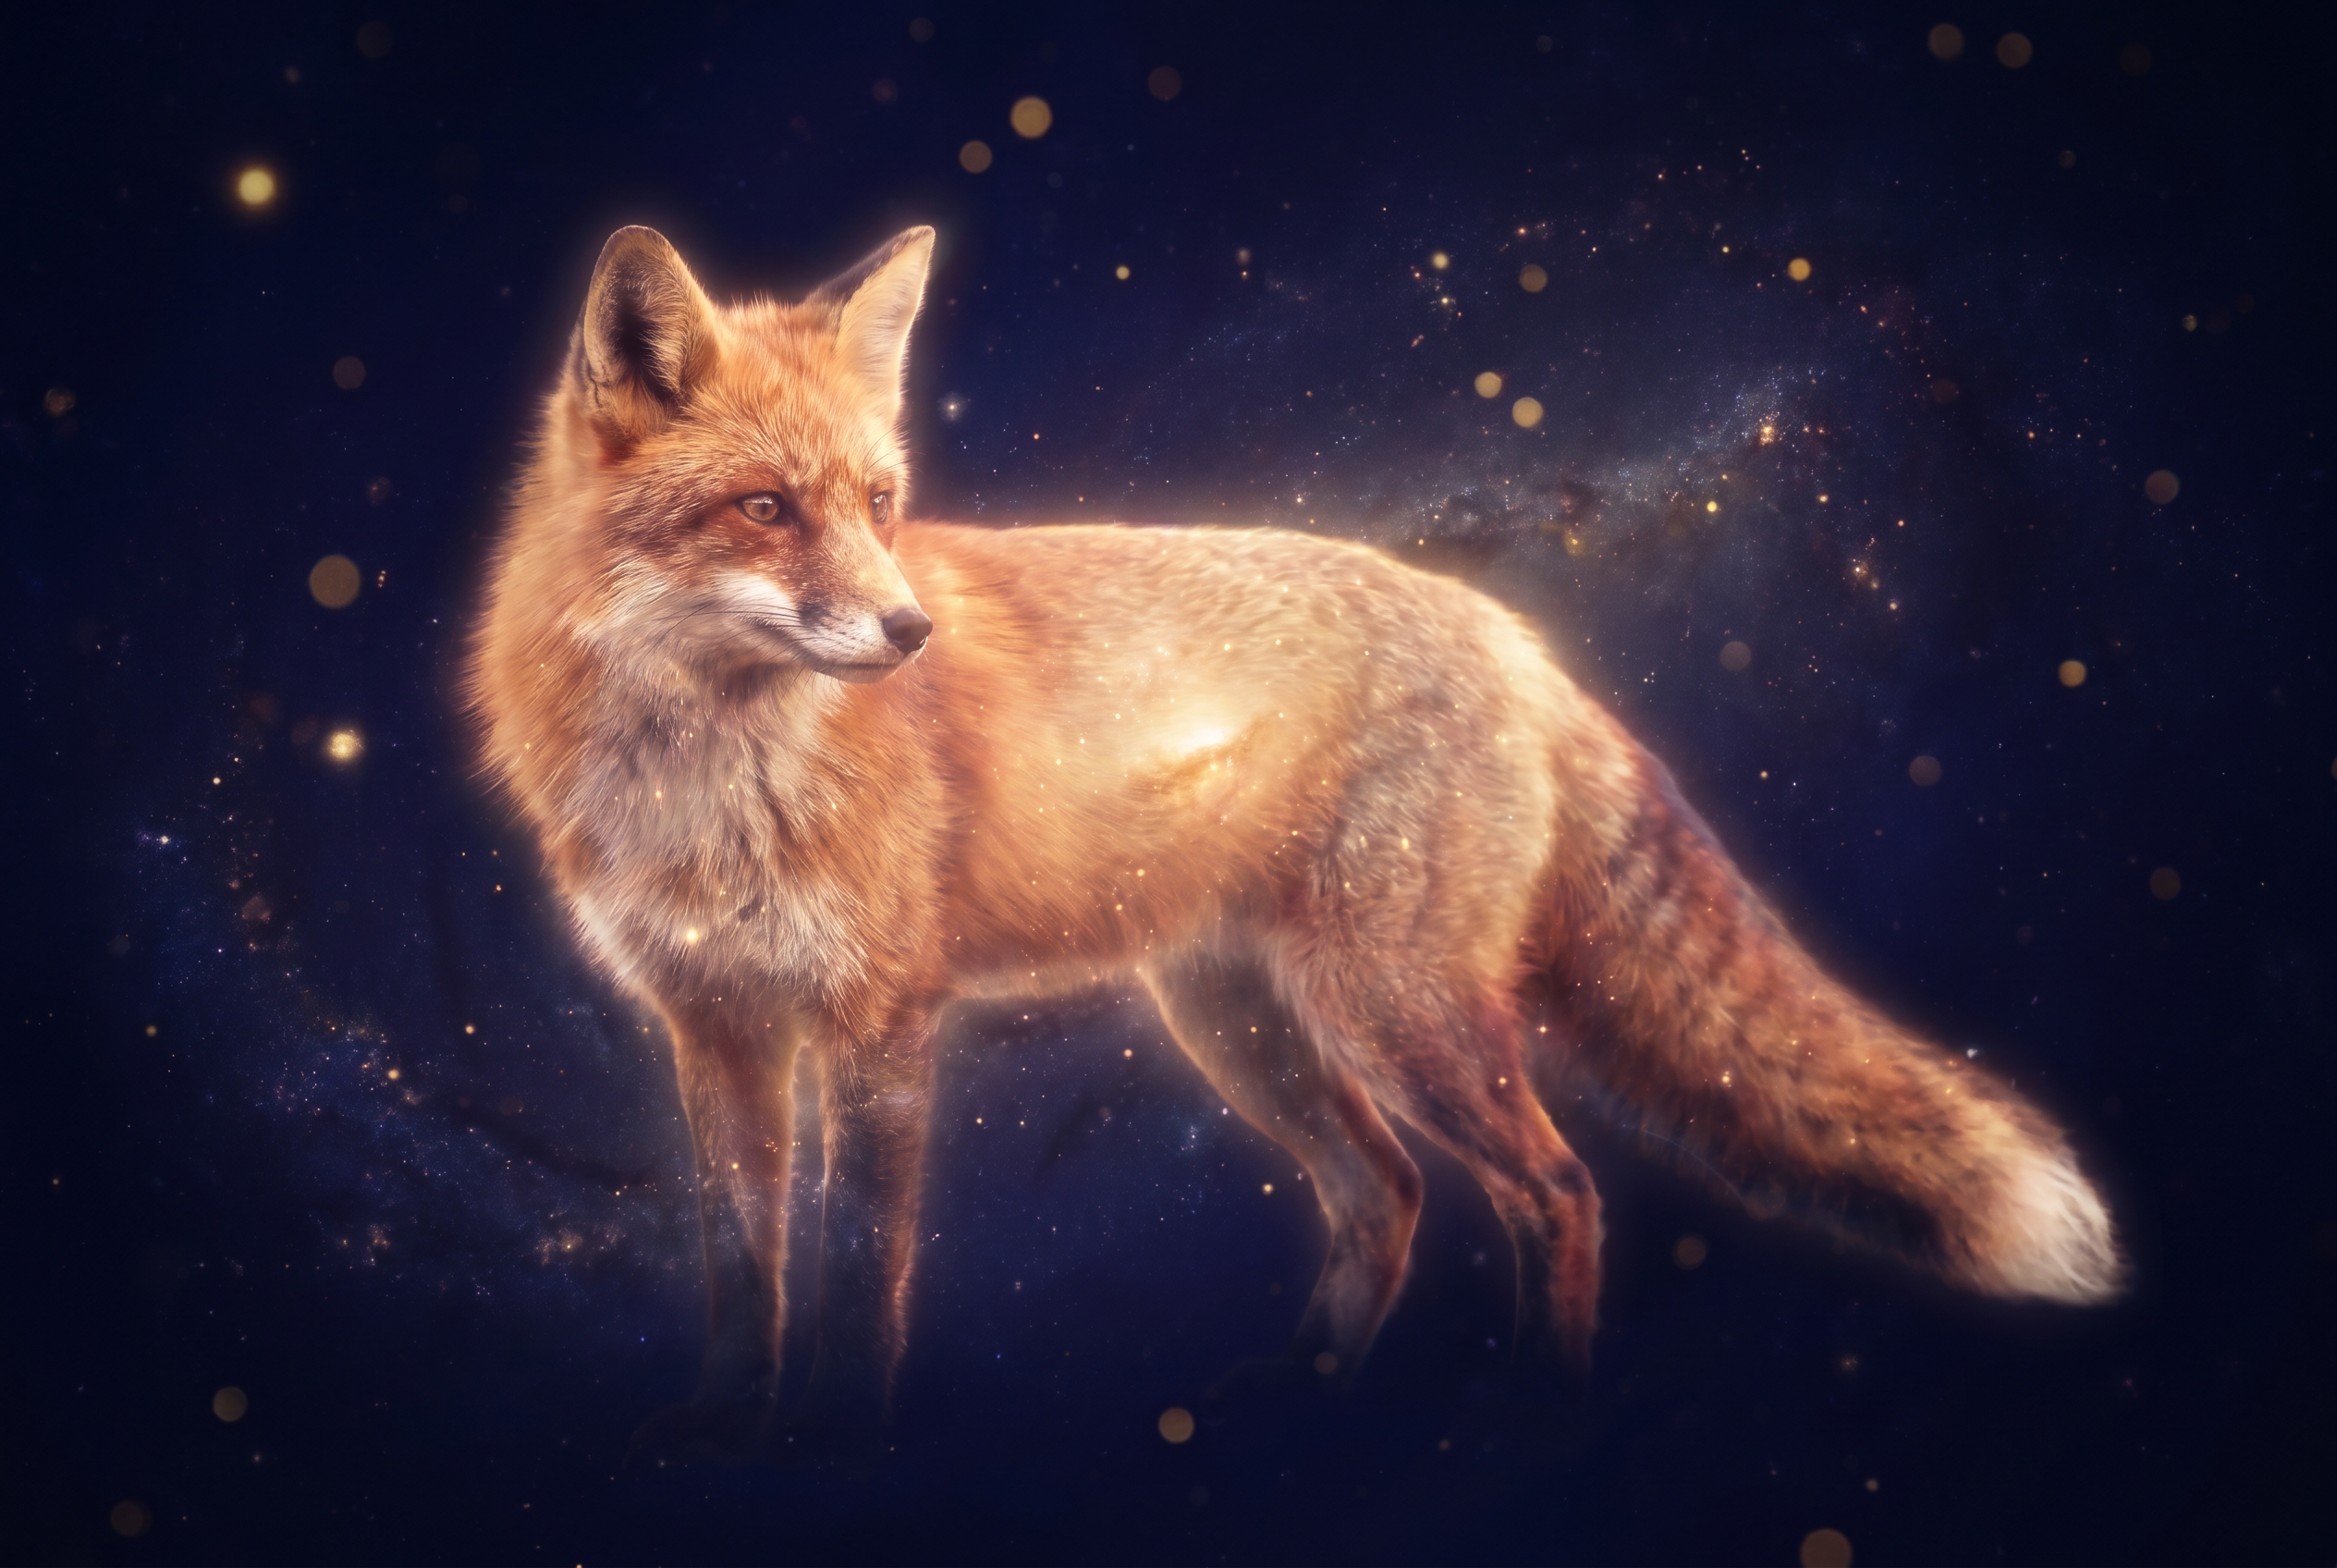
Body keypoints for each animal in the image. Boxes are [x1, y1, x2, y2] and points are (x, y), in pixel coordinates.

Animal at [468, 223, 2123, 1447]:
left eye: (880, 502)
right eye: (764, 508)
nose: (910, 631)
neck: (710, 778)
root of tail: (1514, 634)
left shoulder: (882, 1027)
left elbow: (863, 1271)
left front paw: (837, 1438)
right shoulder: (718, 1031)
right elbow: (743, 1266)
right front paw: (725, 1426)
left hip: (1395, 1011)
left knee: (1557, 1189)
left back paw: (1537, 1409)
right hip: (1246, 1025)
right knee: (1386, 1197)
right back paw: (1315, 1399)